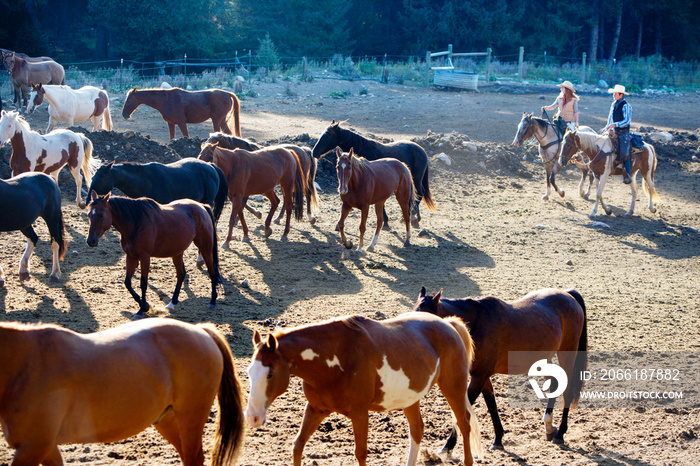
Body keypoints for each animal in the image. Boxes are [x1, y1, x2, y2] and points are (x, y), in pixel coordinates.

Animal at [0, 316, 246, 466]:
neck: (26, 363)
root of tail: (202, 330)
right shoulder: (46, 447)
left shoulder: (33, 447)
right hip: (168, 420)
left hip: (190, 420)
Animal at [87, 191, 224, 318]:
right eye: (89, 215)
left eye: (100, 215)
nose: (90, 241)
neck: (135, 223)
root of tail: (202, 206)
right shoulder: (131, 256)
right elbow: (127, 282)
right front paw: (145, 305)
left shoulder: (145, 257)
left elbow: (143, 284)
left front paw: (141, 310)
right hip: (177, 252)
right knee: (181, 274)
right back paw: (172, 303)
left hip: (205, 248)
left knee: (212, 273)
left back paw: (212, 302)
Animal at [245, 314, 482, 466]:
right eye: (248, 372)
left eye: (270, 374)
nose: (253, 417)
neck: (336, 358)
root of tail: (448, 324)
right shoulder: (315, 409)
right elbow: (298, 445)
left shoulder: (359, 414)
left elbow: (360, 453)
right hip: (410, 399)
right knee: (417, 429)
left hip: (453, 388)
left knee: (464, 424)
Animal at [412, 286, 588, 450]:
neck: (476, 324)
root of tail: (568, 294)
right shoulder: (482, 377)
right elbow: (492, 405)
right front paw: (498, 439)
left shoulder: (479, 376)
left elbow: (464, 412)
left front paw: (447, 448)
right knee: (555, 384)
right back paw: (549, 427)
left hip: (567, 353)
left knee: (567, 390)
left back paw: (559, 434)